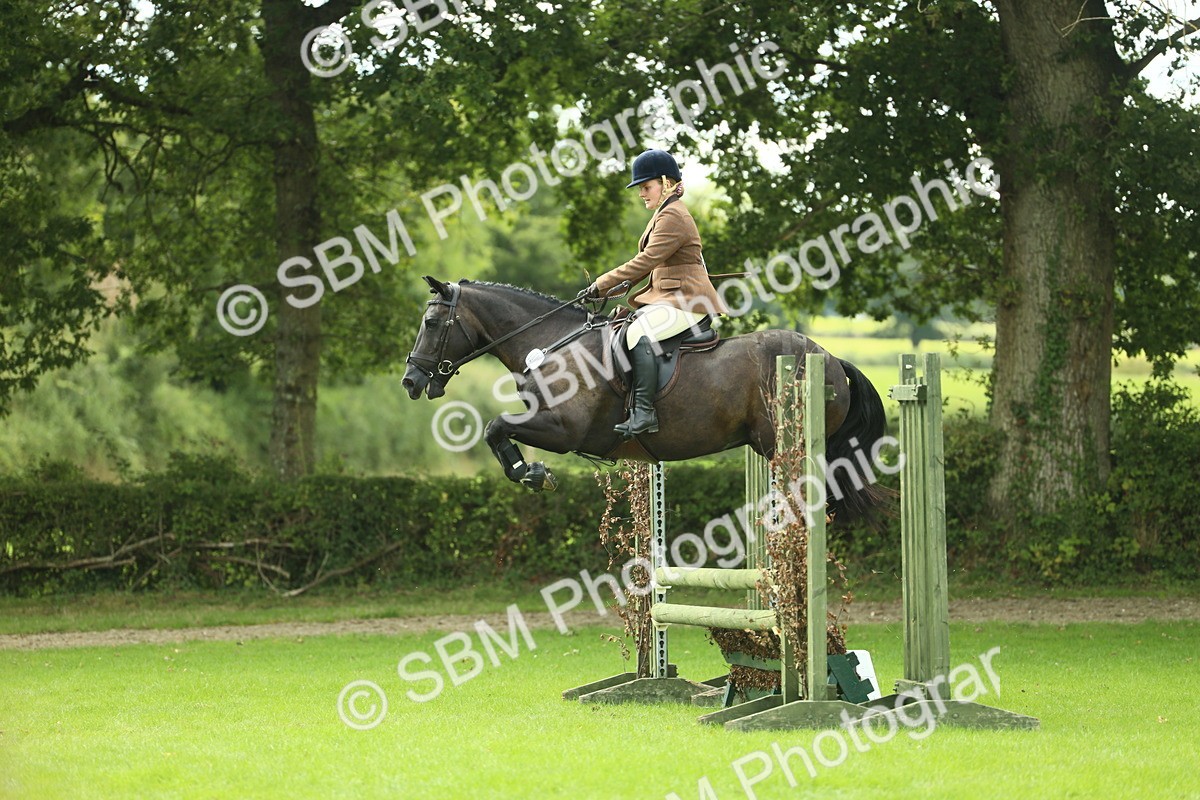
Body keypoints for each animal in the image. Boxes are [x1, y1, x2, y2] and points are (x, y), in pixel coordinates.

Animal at [402, 276, 892, 523]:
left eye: (431, 322)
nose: (410, 381)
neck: (554, 343)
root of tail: (830, 357)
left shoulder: (564, 430)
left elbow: (495, 426)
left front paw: (533, 473)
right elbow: (496, 430)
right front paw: (531, 473)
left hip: (785, 445)